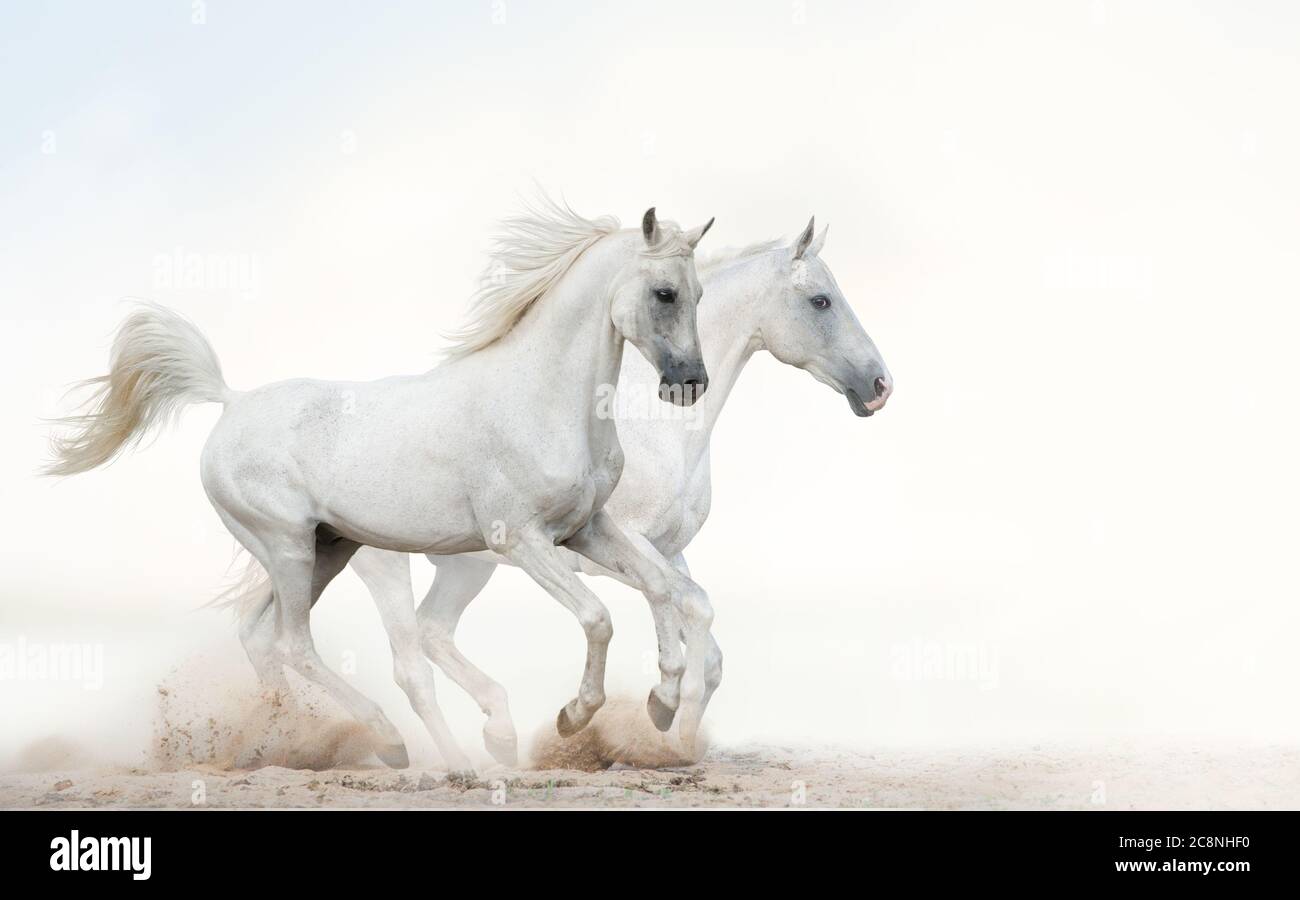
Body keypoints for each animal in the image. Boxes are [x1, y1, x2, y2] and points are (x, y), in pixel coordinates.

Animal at [50, 198, 717, 775]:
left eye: (700, 295)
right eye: (664, 292)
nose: (690, 383)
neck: (543, 399)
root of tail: (231, 402)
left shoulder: (587, 529)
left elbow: (660, 586)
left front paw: (661, 704)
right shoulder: (521, 541)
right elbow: (599, 617)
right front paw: (574, 716)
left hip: (327, 549)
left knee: (259, 633)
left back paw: (289, 738)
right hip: (289, 547)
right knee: (295, 644)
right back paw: (391, 741)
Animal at [335, 215, 899, 759]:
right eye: (821, 300)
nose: (880, 386)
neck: (663, 432)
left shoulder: (669, 551)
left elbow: (708, 650)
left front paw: (673, 735)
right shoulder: (622, 547)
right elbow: (692, 608)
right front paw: (664, 724)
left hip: (466, 567)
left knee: (433, 631)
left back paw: (500, 734)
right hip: (387, 566)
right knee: (410, 668)